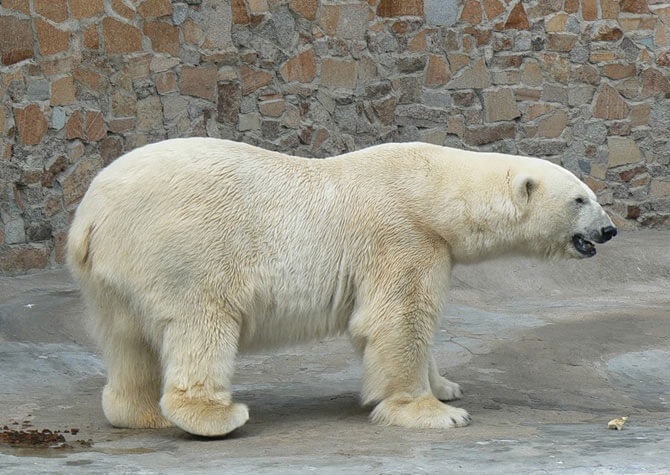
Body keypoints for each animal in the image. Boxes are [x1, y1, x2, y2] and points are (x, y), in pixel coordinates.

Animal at [68, 139, 620, 438]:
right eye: (580, 199)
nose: (609, 230)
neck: (433, 192)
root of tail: (90, 214)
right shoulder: (402, 234)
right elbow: (398, 318)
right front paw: (435, 412)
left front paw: (445, 384)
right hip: (186, 248)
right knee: (200, 323)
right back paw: (214, 416)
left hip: (111, 277)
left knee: (126, 339)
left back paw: (141, 413)